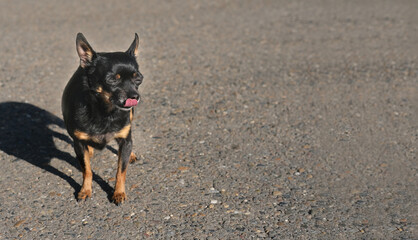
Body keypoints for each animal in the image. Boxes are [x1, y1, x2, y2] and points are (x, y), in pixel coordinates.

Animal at [61, 32, 144, 204]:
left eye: (138, 79)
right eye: (112, 79)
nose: (135, 96)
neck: (105, 112)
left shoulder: (124, 139)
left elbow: (121, 170)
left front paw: (118, 193)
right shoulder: (78, 143)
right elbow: (87, 170)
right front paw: (85, 190)